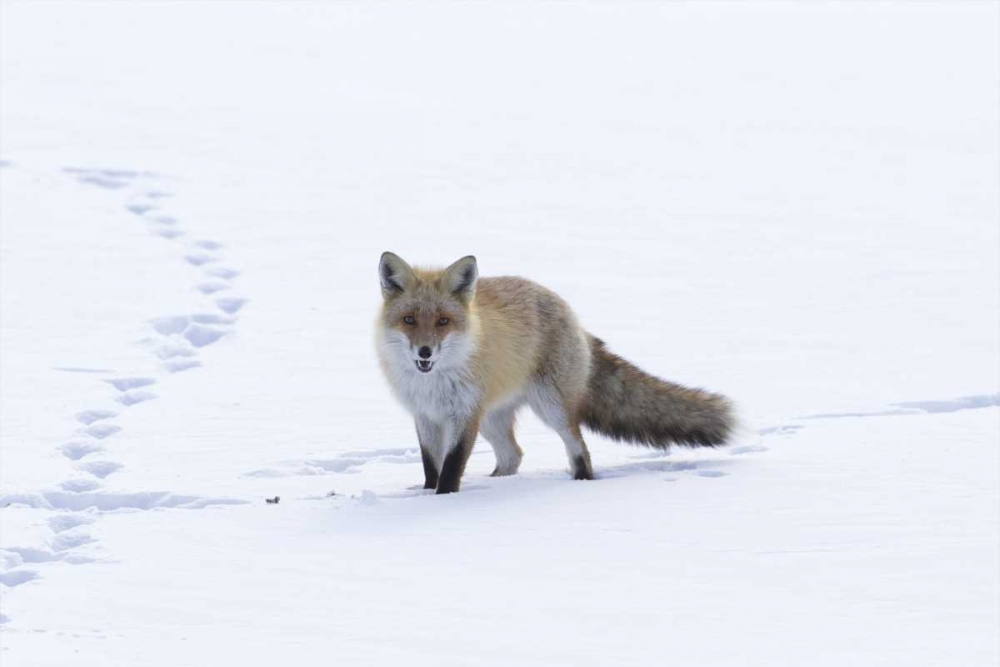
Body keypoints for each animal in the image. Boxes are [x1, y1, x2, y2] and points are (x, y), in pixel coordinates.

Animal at [375, 252, 735, 494]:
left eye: (443, 322)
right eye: (409, 320)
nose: (424, 352)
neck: (431, 383)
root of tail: (570, 312)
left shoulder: (464, 414)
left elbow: (451, 468)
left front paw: (443, 501)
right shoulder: (425, 415)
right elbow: (431, 467)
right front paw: (427, 495)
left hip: (550, 407)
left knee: (579, 448)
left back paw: (580, 485)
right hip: (491, 418)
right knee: (514, 455)